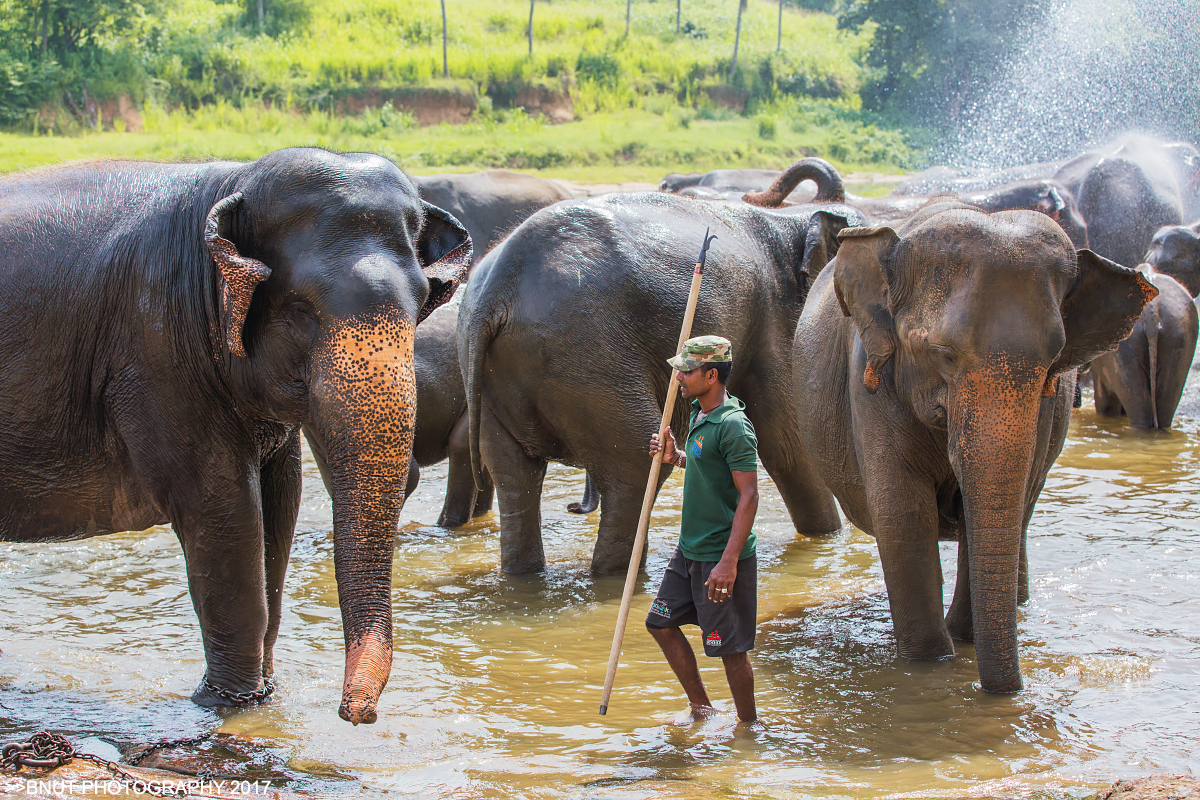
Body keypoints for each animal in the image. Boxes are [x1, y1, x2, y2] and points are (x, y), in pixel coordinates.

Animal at [453, 155, 859, 573]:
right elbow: (785, 441)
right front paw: (827, 537)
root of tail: (498, 289)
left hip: (496, 373)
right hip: (589, 359)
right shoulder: (772, 316)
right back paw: (614, 576)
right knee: (635, 464)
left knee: (513, 474)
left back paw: (527, 576)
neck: (787, 216)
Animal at [796, 200, 1152, 695]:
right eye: (942, 354)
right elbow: (903, 512)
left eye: (1054, 360)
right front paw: (931, 663)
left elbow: (1002, 503)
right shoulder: (870, 379)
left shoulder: (1045, 406)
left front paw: (963, 642)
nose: (1011, 692)